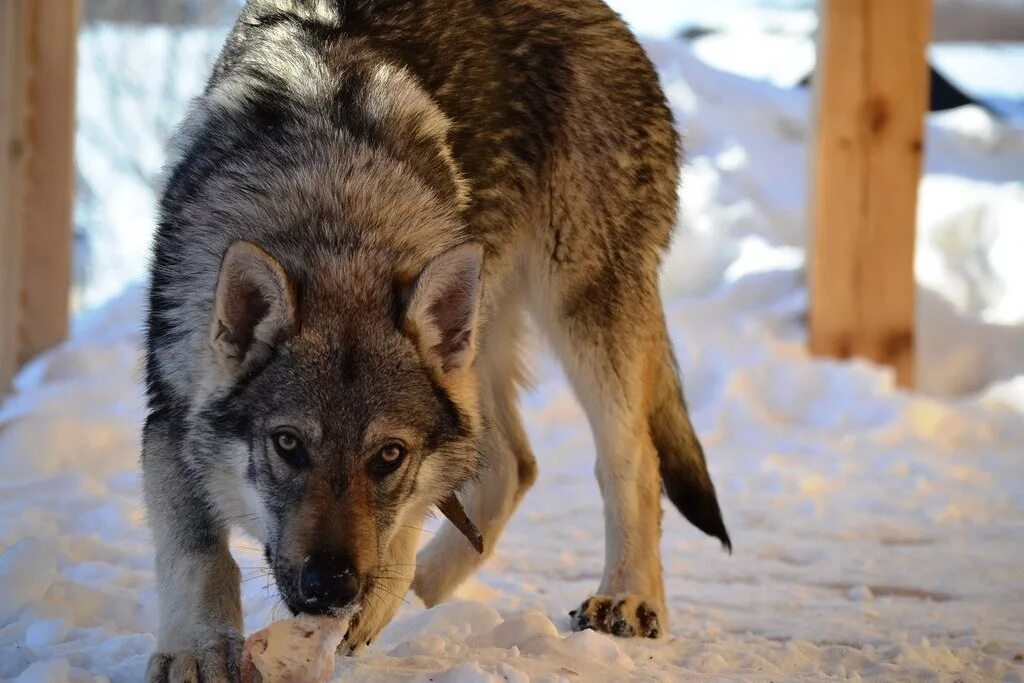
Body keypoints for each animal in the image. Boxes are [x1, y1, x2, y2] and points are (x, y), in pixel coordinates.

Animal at [144, 0, 733, 679]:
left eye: (389, 456)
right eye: (287, 445)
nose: (331, 588)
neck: (334, 210)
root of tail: (612, 19)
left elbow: (406, 514)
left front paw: (378, 597)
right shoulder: (171, 409)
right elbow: (198, 552)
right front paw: (200, 650)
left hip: (579, 308)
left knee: (630, 457)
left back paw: (627, 597)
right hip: (480, 336)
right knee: (512, 465)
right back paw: (425, 597)